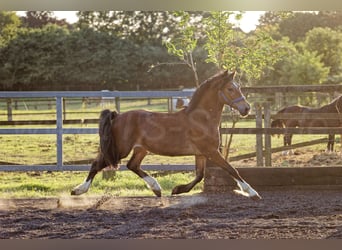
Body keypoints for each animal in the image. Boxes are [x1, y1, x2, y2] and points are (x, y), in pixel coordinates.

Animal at [71, 71, 260, 200]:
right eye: (230, 88)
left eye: (239, 87)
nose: (246, 109)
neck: (200, 118)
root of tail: (117, 116)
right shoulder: (211, 151)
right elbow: (232, 169)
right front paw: (252, 192)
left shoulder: (201, 153)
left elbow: (199, 175)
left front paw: (177, 189)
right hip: (121, 149)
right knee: (97, 164)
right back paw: (78, 190)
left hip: (141, 149)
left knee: (132, 165)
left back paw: (156, 188)